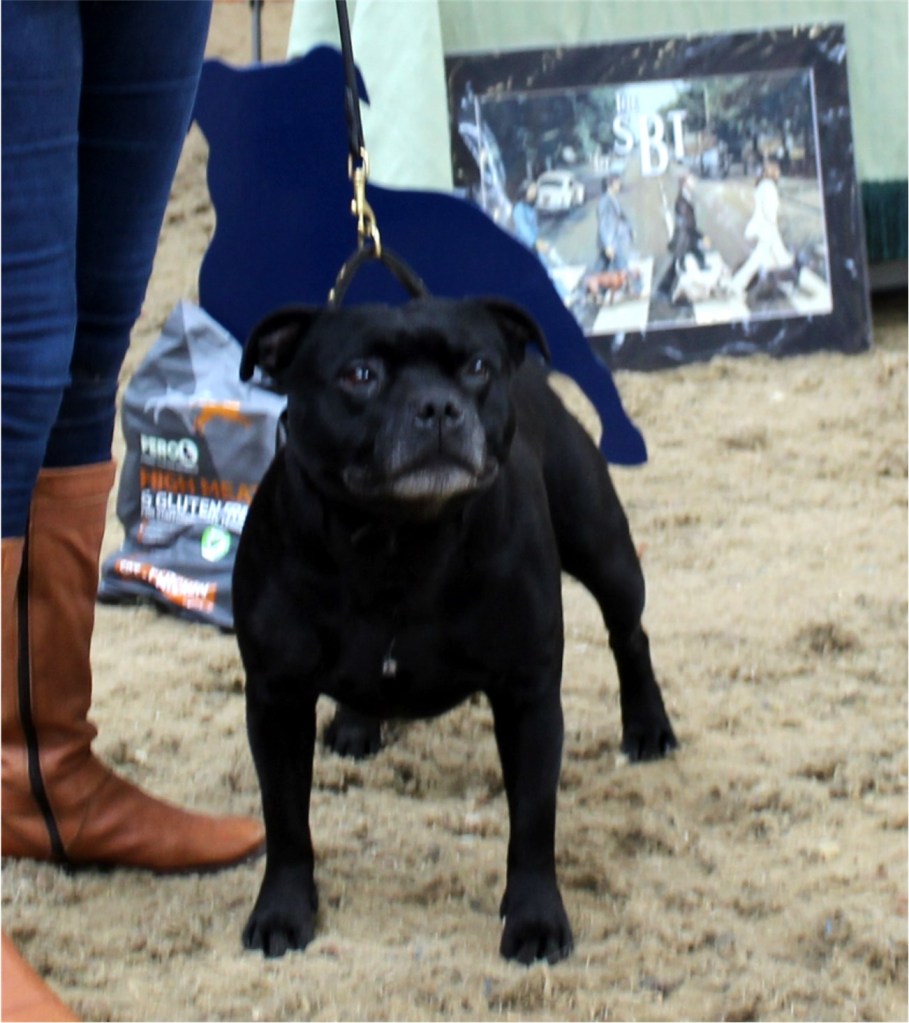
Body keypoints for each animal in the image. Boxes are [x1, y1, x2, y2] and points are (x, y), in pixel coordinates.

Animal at [233, 295, 677, 965]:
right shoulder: (276, 699)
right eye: (359, 374)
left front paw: (535, 920)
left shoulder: (527, 697)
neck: (398, 538)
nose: (439, 405)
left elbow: (533, 820)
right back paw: (357, 725)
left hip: (604, 551)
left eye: (475, 367)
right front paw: (282, 912)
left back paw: (648, 727)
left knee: (630, 635)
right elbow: (285, 818)